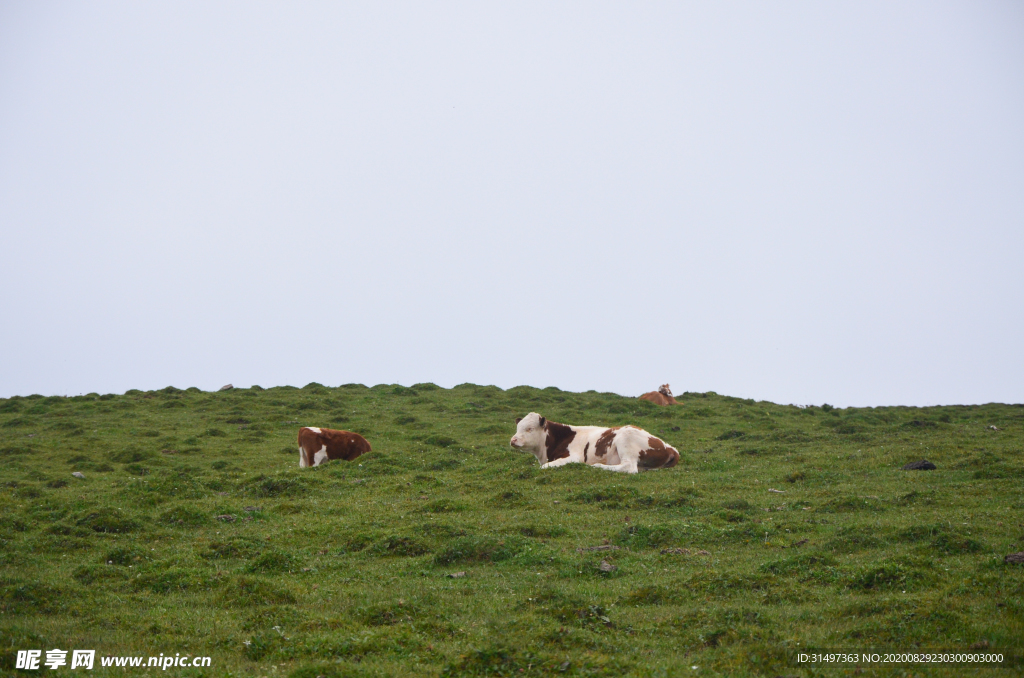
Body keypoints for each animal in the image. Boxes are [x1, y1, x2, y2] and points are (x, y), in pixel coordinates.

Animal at [512, 411, 679, 475]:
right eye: (517, 427)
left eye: (529, 429)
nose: (513, 440)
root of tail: (671, 448)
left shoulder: (574, 457)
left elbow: (544, 467)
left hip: (626, 438)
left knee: (629, 467)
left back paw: (598, 466)